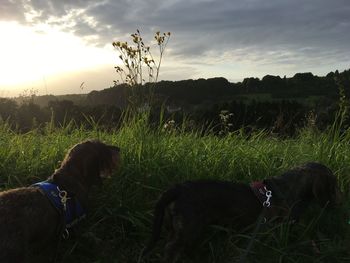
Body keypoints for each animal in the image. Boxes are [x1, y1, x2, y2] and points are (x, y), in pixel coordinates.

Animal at [142, 162, 342, 262]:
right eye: (334, 184)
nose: (340, 203)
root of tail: (177, 188)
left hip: (176, 227)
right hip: (188, 229)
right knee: (171, 249)